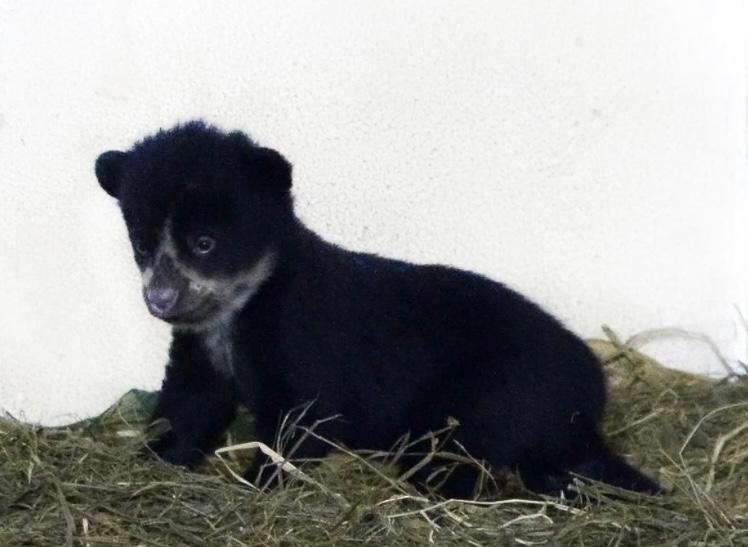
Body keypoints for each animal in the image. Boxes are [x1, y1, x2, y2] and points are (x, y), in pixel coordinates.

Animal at [95, 121, 659, 498]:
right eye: (141, 245)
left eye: (205, 243)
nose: (160, 300)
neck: (240, 311)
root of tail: (590, 401)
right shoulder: (200, 350)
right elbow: (190, 405)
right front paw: (153, 460)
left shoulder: (301, 343)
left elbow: (301, 422)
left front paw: (261, 482)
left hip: (488, 397)